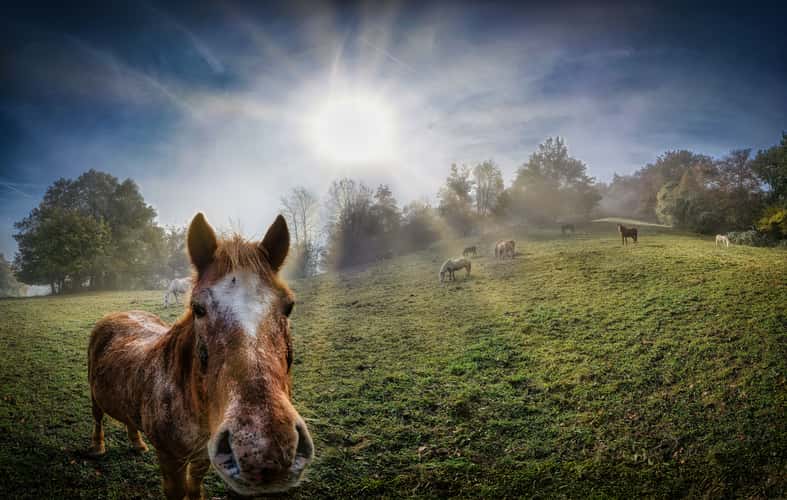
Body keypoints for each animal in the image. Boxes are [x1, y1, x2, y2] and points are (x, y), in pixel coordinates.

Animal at [87, 213, 313, 499]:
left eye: (289, 306)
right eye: (198, 308)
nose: (264, 453)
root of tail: (118, 314)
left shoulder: (204, 455)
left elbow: (195, 486)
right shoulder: (170, 459)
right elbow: (178, 489)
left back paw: (137, 444)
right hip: (94, 394)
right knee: (97, 418)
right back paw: (97, 447)